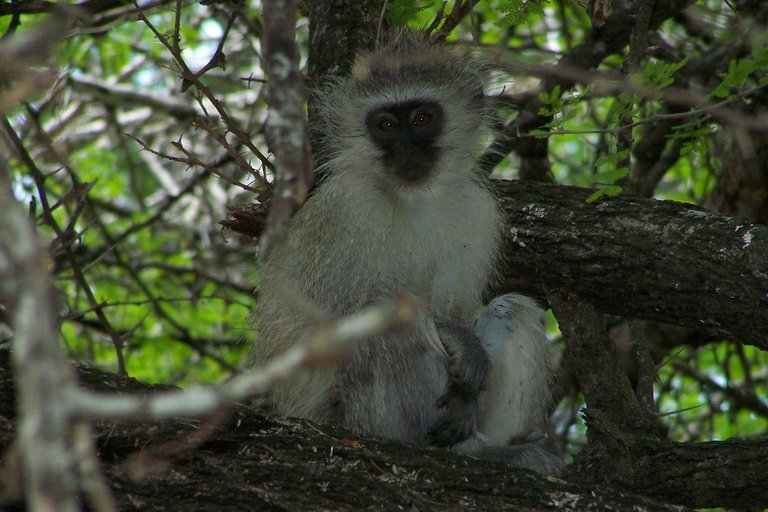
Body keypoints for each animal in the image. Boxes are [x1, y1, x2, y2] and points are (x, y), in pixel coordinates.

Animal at [249, 30, 560, 474]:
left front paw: (462, 353)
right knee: (385, 314)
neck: (411, 197)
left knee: (511, 308)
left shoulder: (477, 212)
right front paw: (458, 340)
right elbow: (326, 326)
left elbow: (459, 309)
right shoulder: (345, 207)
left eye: (422, 120)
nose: (407, 152)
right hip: (354, 418)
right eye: (386, 125)